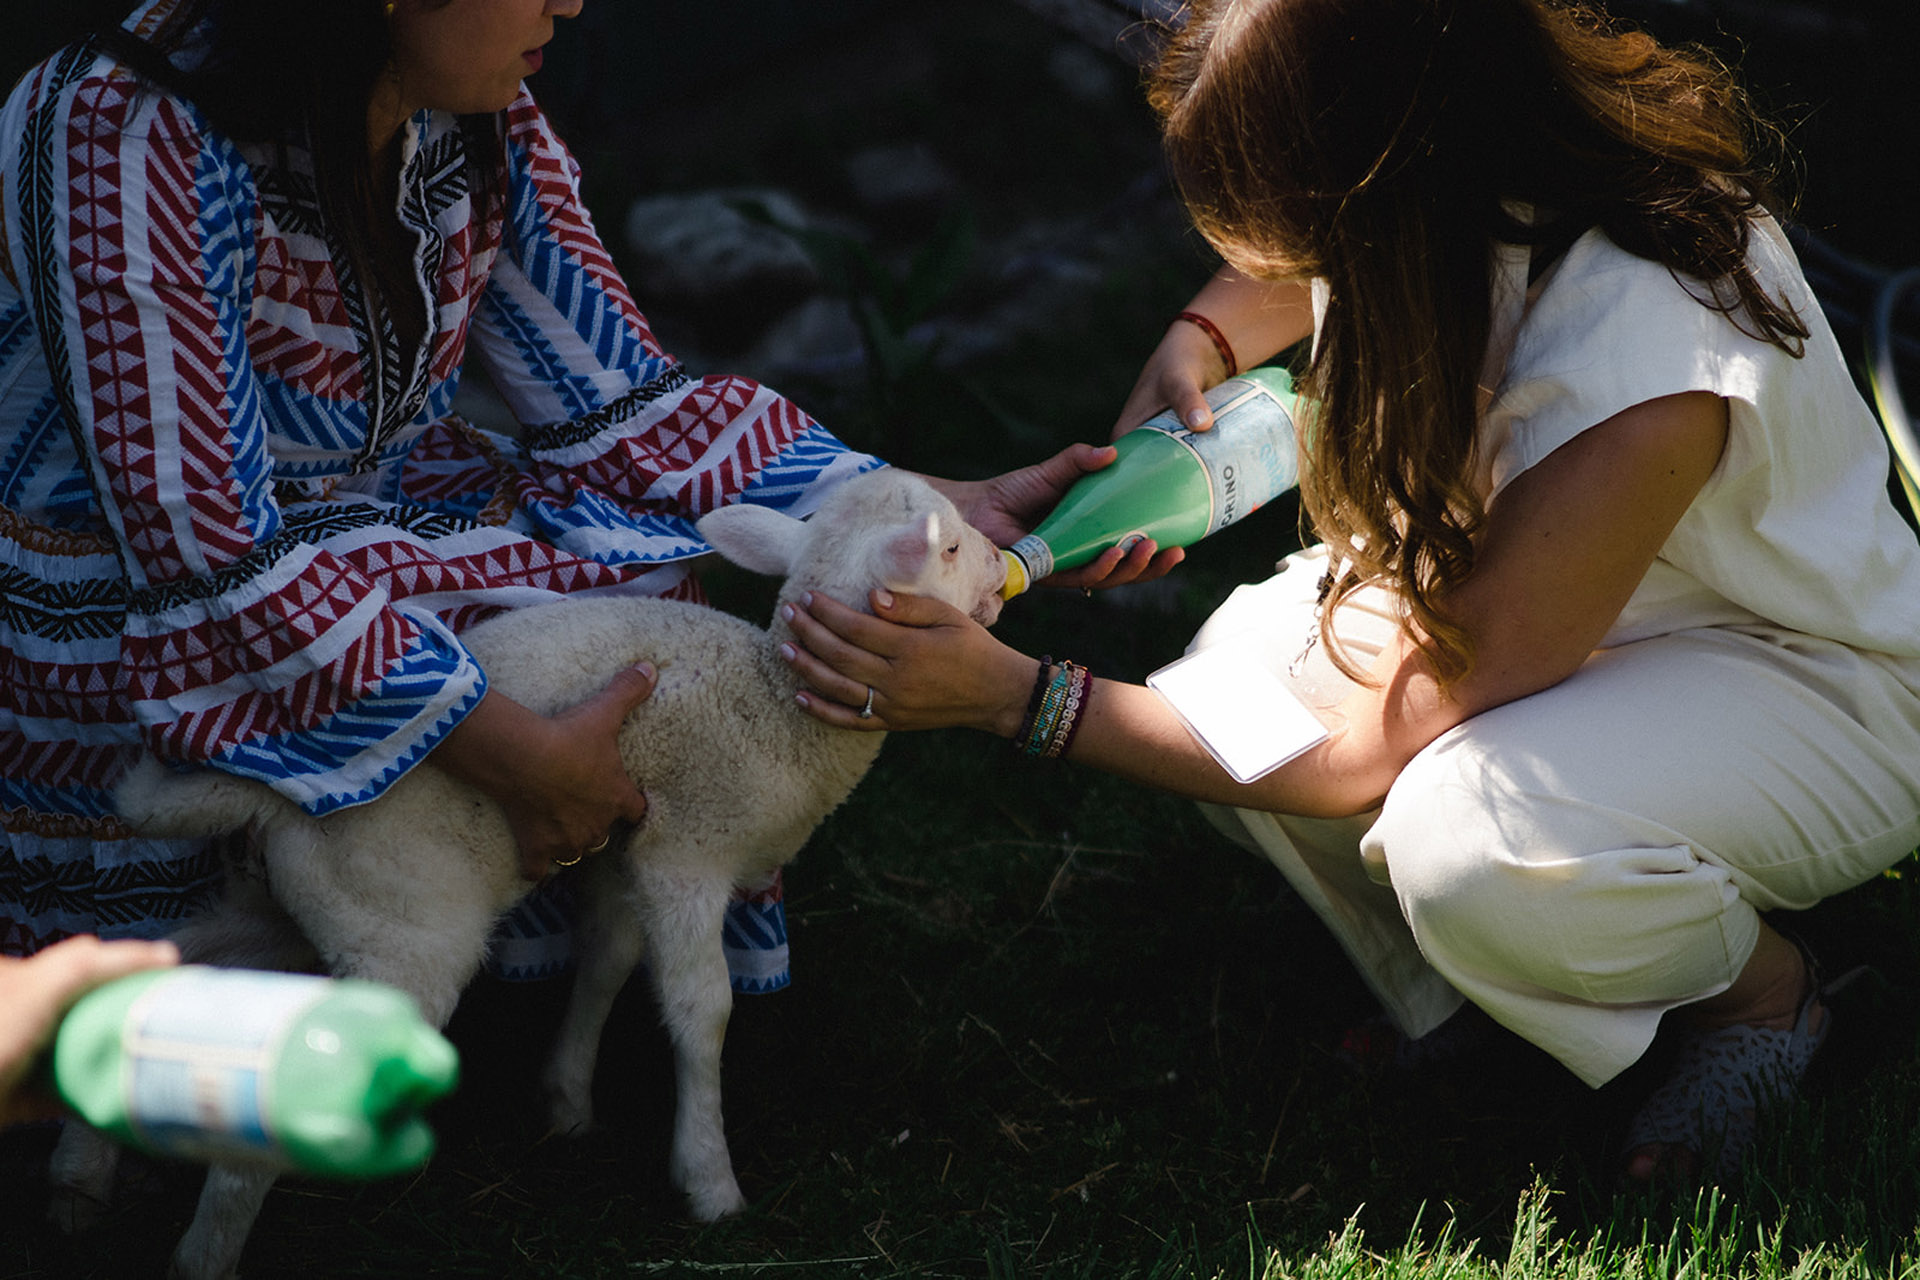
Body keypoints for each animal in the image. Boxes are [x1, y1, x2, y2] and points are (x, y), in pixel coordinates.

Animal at [48, 470, 1006, 1280]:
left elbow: (608, 961)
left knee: (156, 964)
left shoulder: (625, 847)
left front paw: (567, 1102)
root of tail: (272, 798)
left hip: (296, 901)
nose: (1003, 565)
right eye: (951, 549)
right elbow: (702, 1011)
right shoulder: (688, 853)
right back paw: (203, 1255)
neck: (778, 703)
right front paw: (709, 1183)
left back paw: (82, 1170)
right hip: (406, 926)